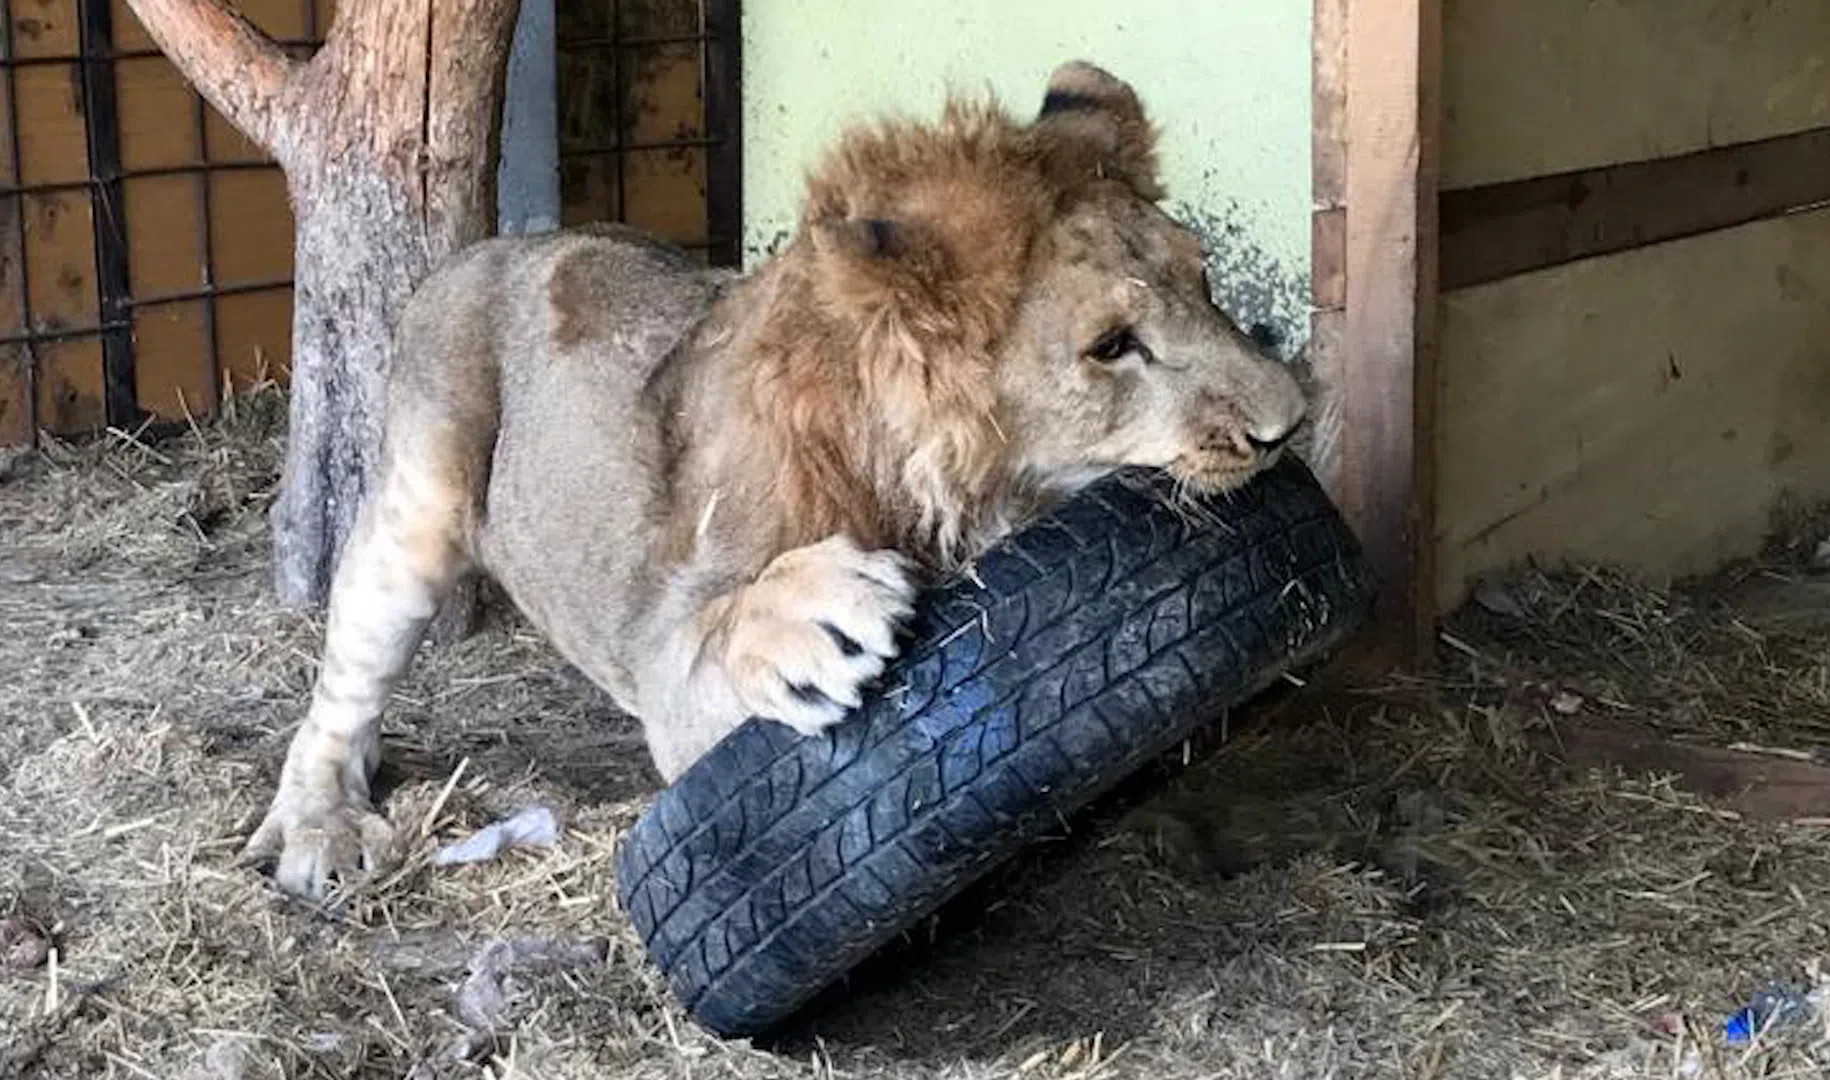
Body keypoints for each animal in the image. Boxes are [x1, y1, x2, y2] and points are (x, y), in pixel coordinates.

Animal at [247, 63, 1302, 900]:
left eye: (1204, 281)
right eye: (1111, 346)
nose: (1286, 425)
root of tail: (505, 240)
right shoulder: (676, 684)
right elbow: (713, 637)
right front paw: (805, 615)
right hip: (416, 507)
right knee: (338, 691)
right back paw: (320, 828)